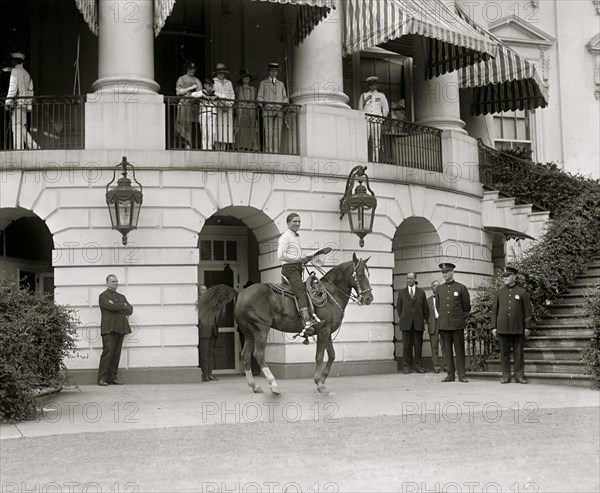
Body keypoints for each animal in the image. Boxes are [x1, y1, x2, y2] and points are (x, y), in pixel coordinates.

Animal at [197, 254, 372, 392]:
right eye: (359, 274)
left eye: (368, 273)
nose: (369, 298)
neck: (329, 295)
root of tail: (240, 293)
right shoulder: (323, 330)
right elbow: (320, 356)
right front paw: (318, 381)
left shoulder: (327, 331)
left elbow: (332, 355)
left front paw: (322, 380)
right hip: (261, 330)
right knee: (258, 354)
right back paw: (273, 384)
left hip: (248, 333)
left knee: (245, 355)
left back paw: (254, 385)